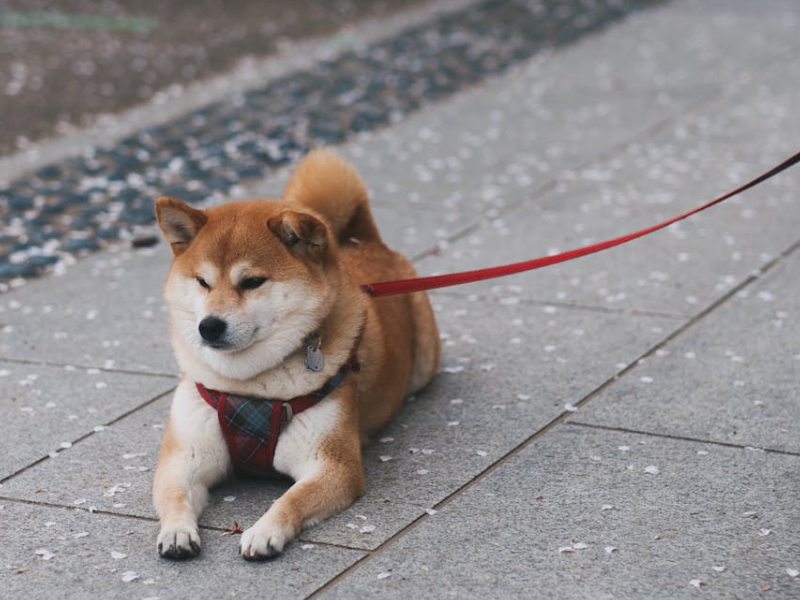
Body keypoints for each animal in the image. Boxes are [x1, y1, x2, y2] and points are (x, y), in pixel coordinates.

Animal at [152, 149, 440, 556]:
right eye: (202, 282)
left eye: (252, 282)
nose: (209, 326)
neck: (248, 387)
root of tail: (363, 241)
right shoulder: (184, 457)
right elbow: (175, 494)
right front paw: (177, 530)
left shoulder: (332, 464)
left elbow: (292, 498)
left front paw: (264, 530)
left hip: (425, 360)